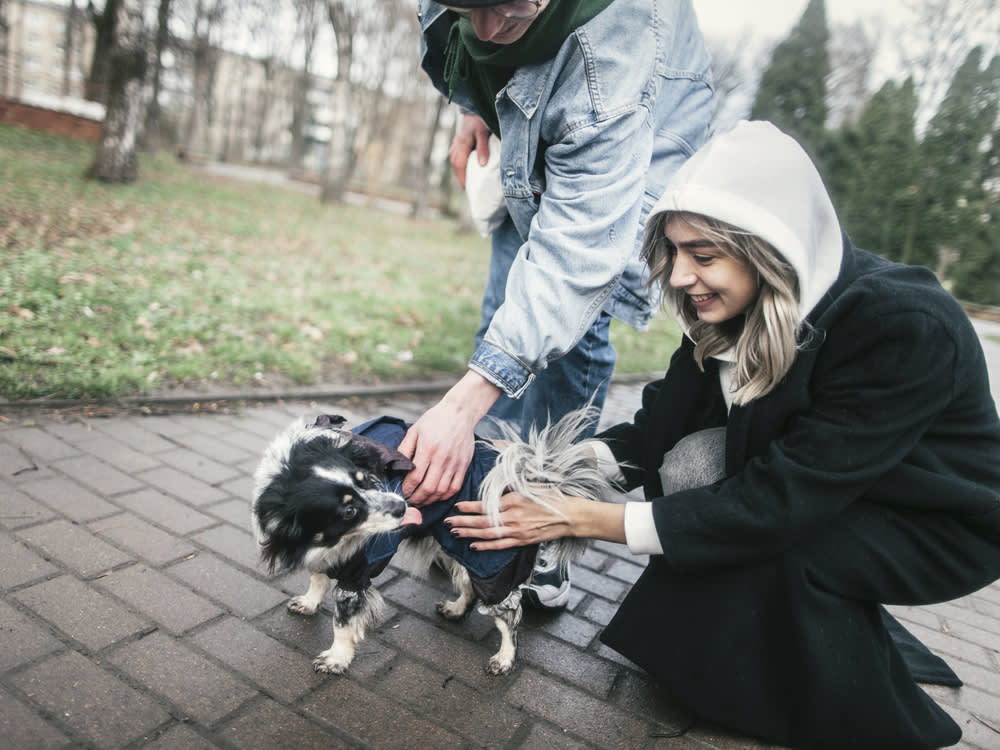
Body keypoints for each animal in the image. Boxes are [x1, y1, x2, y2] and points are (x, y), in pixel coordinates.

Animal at [250, 408, 612, 680]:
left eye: (367, 480)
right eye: (349, 511)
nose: (401, 507)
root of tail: (528, 480)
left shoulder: (357, 571)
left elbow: (343, 621)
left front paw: (337, 658)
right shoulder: (325, 551)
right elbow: (317, 577)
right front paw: (309, 603)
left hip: (491, 562)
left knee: (510, 615)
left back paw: (505, 659)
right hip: (459, 543)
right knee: (468, 587)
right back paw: (455, 610)